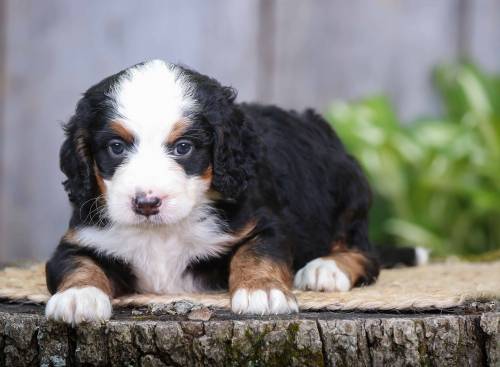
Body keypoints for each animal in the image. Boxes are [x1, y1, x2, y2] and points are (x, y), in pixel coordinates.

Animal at [47, 60, 382, 324]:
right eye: (116, 147)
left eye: (183, 147)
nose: (146, 203)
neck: (162, 232)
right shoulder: (80, 238)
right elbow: (77, 263)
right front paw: (78, 296)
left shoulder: (264, 224)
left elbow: (256, 253)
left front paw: (262, 290)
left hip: (351, 191)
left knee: (365, 253)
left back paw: (325, 269)